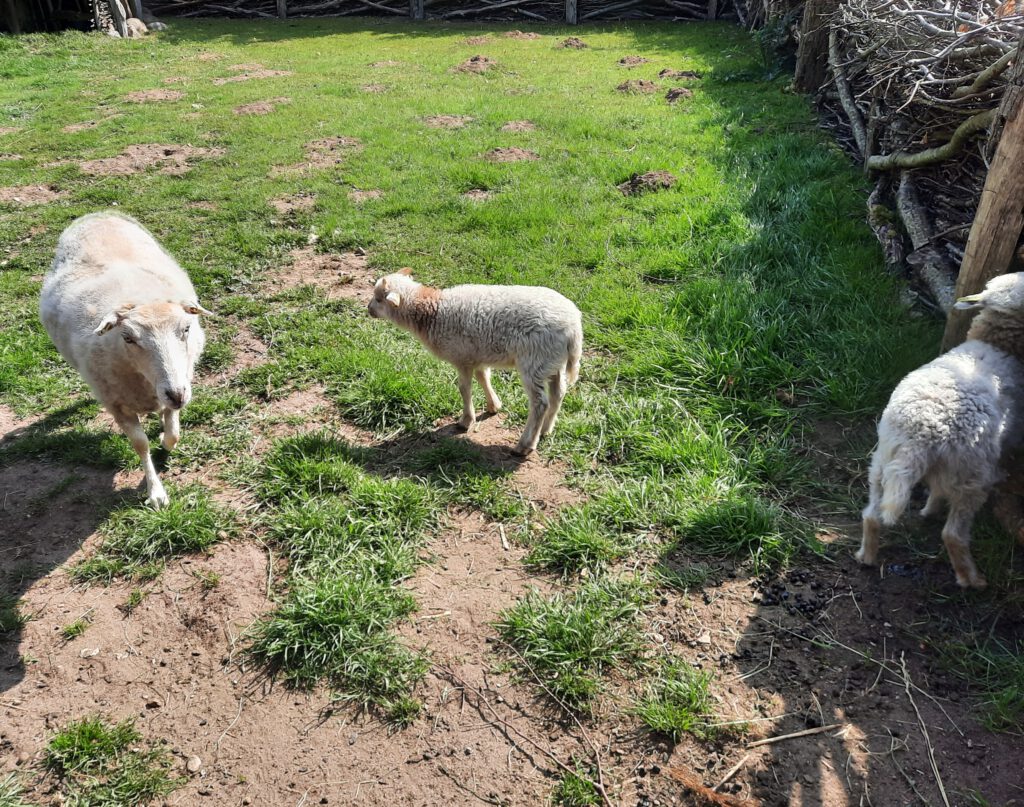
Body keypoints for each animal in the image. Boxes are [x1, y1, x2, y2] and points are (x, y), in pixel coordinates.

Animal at [41, 210, 211, 507]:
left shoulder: (178, 380)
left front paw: (165, 439)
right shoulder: (117, 403)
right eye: (128, 338)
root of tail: (97, 215)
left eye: (186, 329)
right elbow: (140, 444)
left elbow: (173, 433)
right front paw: (156, 492)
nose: (177, 394)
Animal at [368, 270, 581, 456]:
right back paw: (545, 430)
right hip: (552, 362)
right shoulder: (477, 355)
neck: (433, 313)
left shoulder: (462, 358)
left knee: (539, 404)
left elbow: (464, 388)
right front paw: (493, 405)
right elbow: (483, 377)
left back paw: (525, 445)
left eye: (379, 299)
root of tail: (574, 328)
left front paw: (465, 421)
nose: (368, 309)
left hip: (534, 361)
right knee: (558, 394)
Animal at [856, 270, 1024, 585]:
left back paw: (867, 556)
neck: (996, 344)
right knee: (953, 535)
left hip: (883, 462)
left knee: (871, 514)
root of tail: (918, 436)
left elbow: (936, 491)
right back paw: (972, 579)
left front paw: (928, 510)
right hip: (972, 475)